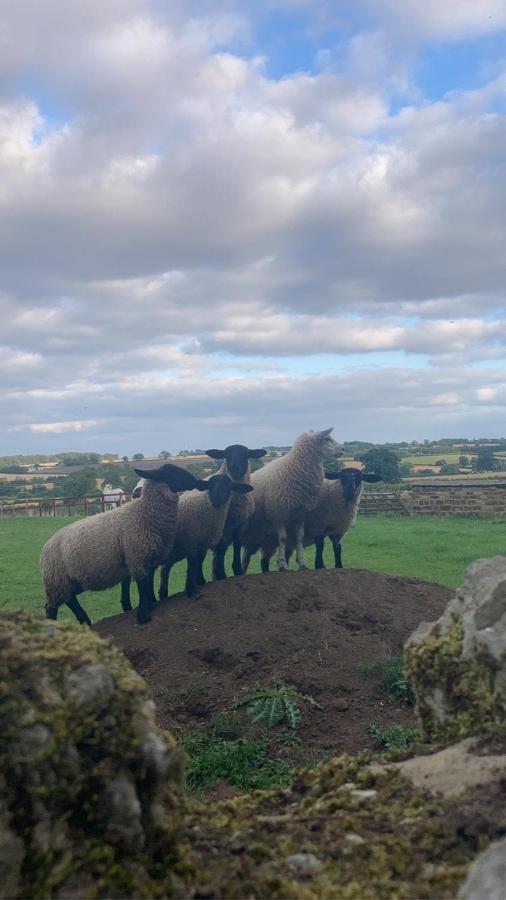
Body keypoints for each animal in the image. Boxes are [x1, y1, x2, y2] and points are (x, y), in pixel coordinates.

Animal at [40, 464, 204, 624]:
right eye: (172, 473)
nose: (197, 481)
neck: (143, 512)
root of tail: (45, 548)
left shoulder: (149, 559)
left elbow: (149, 584)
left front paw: (152, 604)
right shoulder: (137, 559)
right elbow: (142, 587)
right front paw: (144, 615)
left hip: (69, 582)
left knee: (69, 600)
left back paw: (85, 621)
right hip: (57, 582)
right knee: (53, 607)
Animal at [206, 444, 268, 584]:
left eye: (246, 455)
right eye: (226, 455)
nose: (235, 468)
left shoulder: (241, 524)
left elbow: (237, 544)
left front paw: (237, 570)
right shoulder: (223, 527)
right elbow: (221, 548)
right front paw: (222, 574)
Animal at [241, 428, 344, 568]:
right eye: (327, 439)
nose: (343, 449)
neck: (293, 467)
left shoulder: (300, 514)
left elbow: (299, 538)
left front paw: (302, 563)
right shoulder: (278, 513)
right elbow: (283, 538)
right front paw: (283, 564)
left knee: (246, 554)